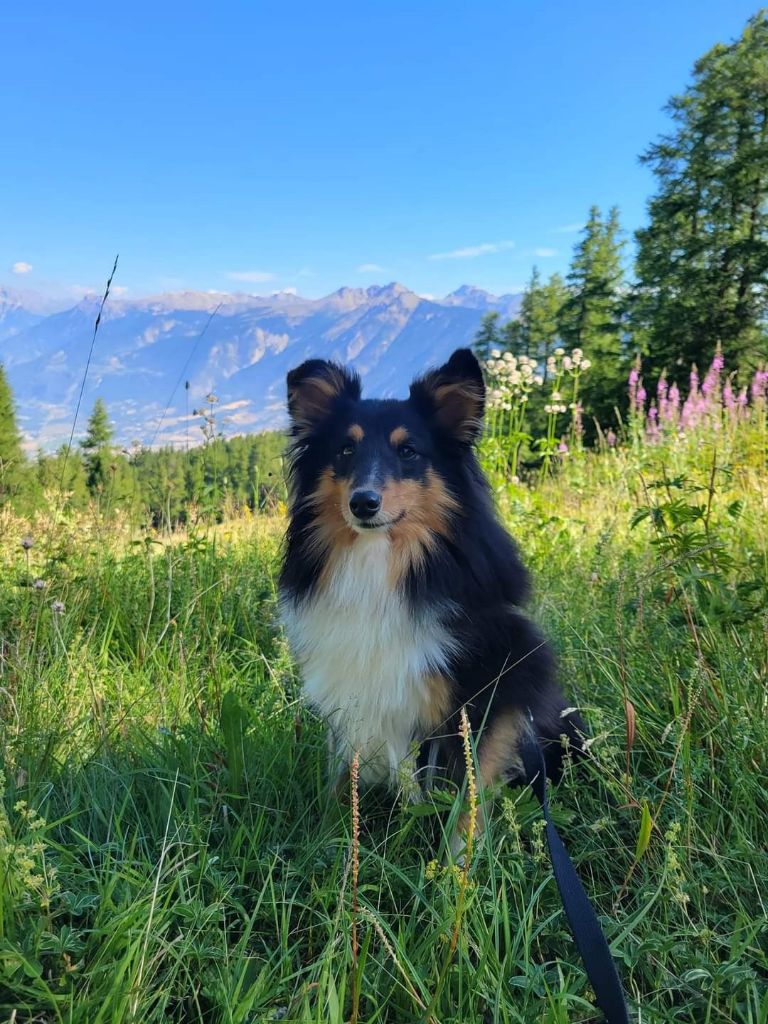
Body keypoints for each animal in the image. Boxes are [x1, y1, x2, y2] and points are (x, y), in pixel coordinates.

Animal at [280, 348, 585, 851]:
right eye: (345, 450)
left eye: (408, 451)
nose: (363, 503)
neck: (382, 561)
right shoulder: (352, 689)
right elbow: (342, 776)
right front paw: (330, 839)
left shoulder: (492, 686)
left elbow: (469, 789)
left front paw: (458, 862)